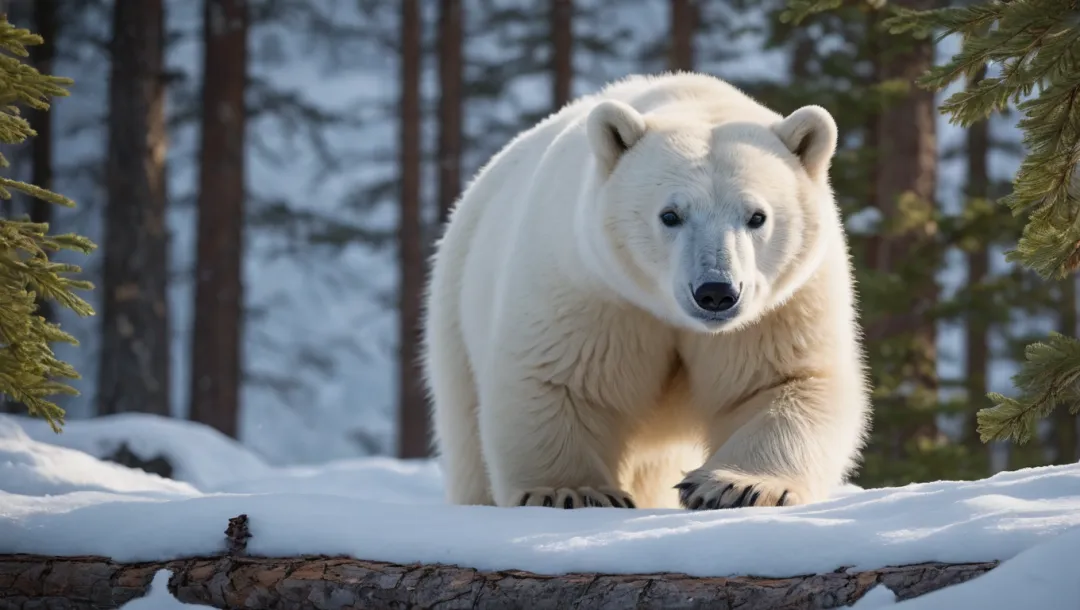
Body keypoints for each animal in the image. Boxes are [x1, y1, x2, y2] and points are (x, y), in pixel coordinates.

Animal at [419, 72, 868, 509]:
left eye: (757, 216)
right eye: (670, 214)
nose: (716, 292)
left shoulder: (781, 305)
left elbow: (785, 380)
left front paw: (735, 486)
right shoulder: (591, 289)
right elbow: (558, 379)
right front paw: (571, 492)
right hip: (454, 310)